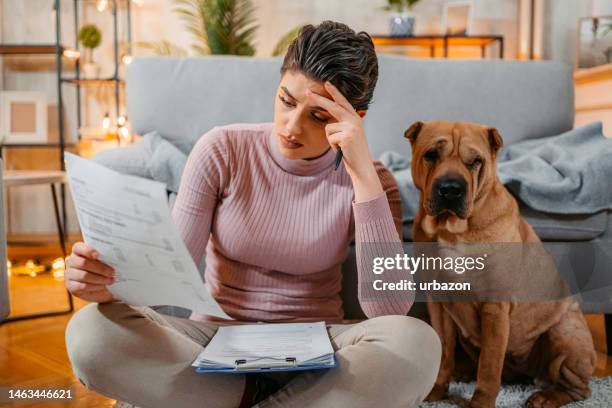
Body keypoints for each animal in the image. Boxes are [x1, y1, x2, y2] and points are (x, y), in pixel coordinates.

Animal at [404, 121, 596, 408]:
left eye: (475, 161)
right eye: (431, 155)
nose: (451, 189)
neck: (451, 230)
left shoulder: (494, 307)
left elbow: (490, 364)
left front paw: (480, 402)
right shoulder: (438, 304)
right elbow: (444, 351)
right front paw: (436, 390)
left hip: (564, 334)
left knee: (578, 388)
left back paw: (545, 397)